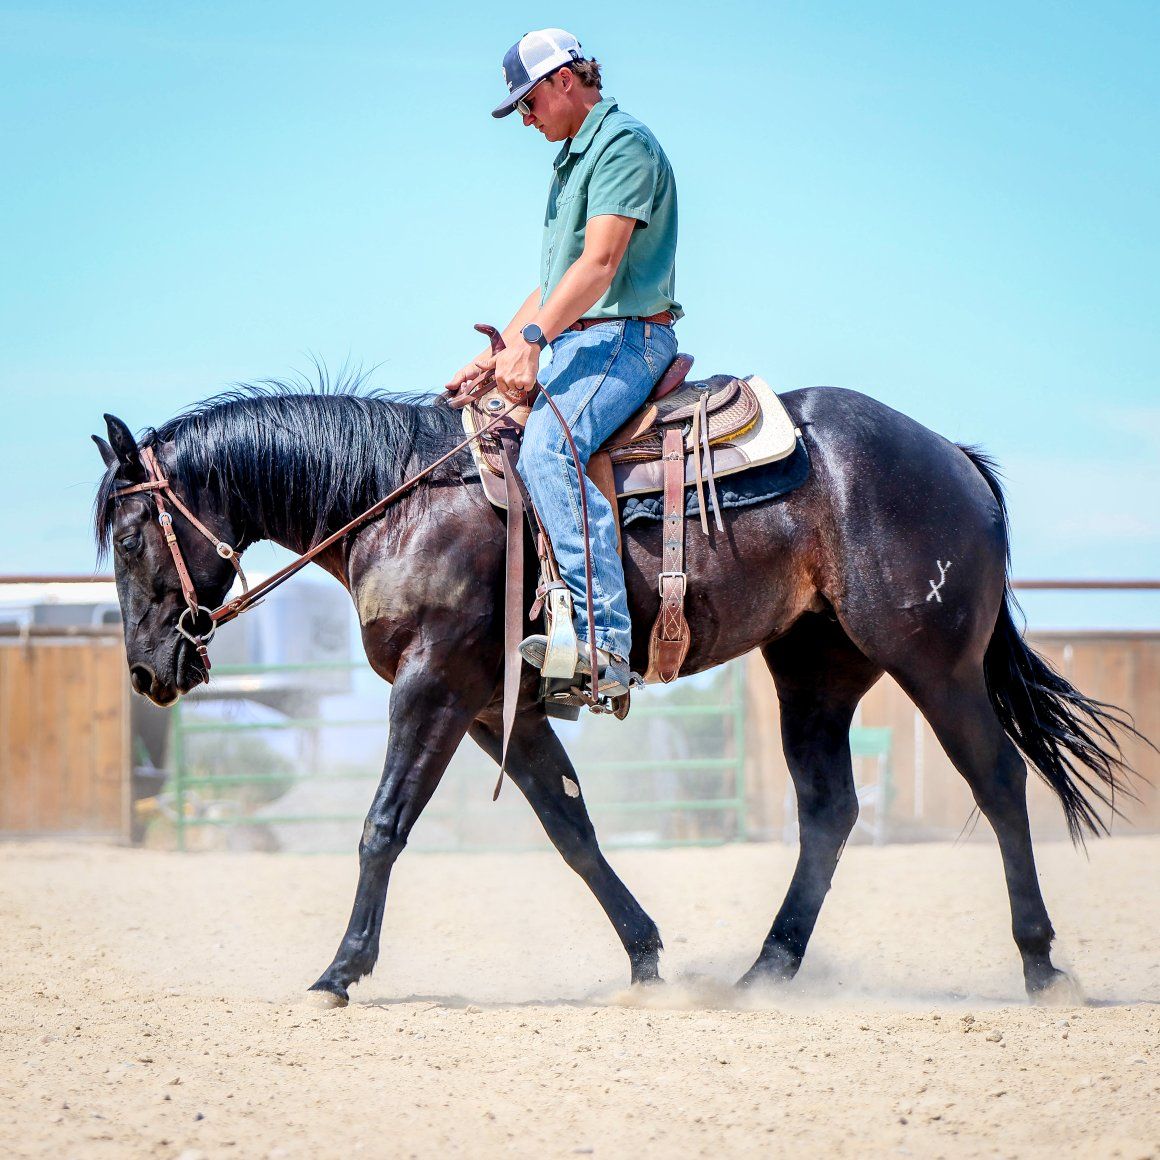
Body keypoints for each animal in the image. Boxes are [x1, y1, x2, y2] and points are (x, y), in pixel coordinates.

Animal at [92, 381, 1136, 1006]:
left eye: (133, 535)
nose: (146, 671)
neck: (400, 502)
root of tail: (953, 457)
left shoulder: (434, 687)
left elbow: (382, 827)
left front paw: (341, 970)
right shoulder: (493, 706)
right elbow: (571, 827)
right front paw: (645, 957)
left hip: (933, 665)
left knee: (999, 783)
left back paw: (1042, 966)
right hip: (815, 671)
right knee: (829, 811)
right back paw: (766, 970)